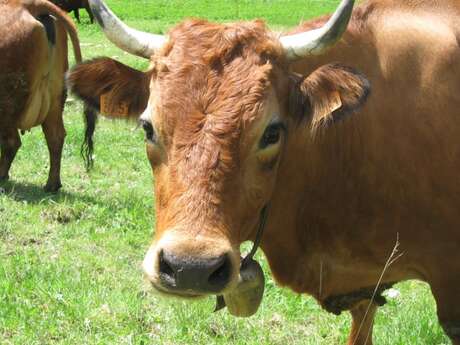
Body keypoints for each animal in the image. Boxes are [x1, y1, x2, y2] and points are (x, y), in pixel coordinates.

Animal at [0, 0, 87, 191]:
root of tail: (28, 5)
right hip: (55, 100)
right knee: (56, 137)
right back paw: (52, 184)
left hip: (7, 104)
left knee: (11, 142)